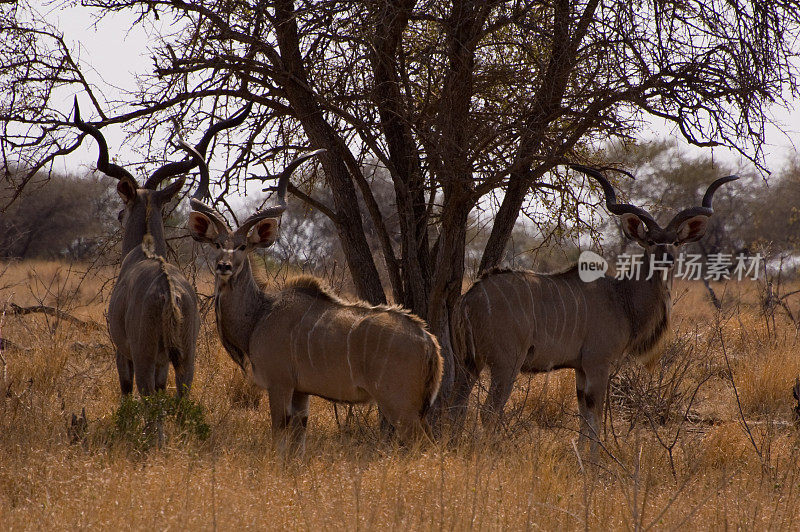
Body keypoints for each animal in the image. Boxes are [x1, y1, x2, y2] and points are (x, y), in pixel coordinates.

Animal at [74, 101, 253, 400]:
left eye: (125, 207)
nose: (120, 215)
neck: (142, 253)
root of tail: (169, 292)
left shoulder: (123, 353)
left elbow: (125, 391)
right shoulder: (164, 362)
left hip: (144, 357)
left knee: (146, 396)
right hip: (186, 360)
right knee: (181, 396)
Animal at [188, 153, 444, 454]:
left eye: (242, 247)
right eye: (217, 244)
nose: (224, 266)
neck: (260, 315)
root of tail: (428, 341)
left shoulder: (280, 383)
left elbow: (279, 438)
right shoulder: (301, 392)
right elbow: (297, 446)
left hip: (400, 406)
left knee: (424, 445)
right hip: (415, 409)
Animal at [450, 164, 736, 450]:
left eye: (675, 242)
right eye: (651, 241)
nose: (666, 258)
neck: (621, 297)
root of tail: (470, 298)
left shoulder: (580, 368)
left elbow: (583, 417)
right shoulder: (598, 363)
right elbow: (595, 418)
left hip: (468, 363)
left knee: (457, 405)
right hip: (506, 363)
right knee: (489, 411)